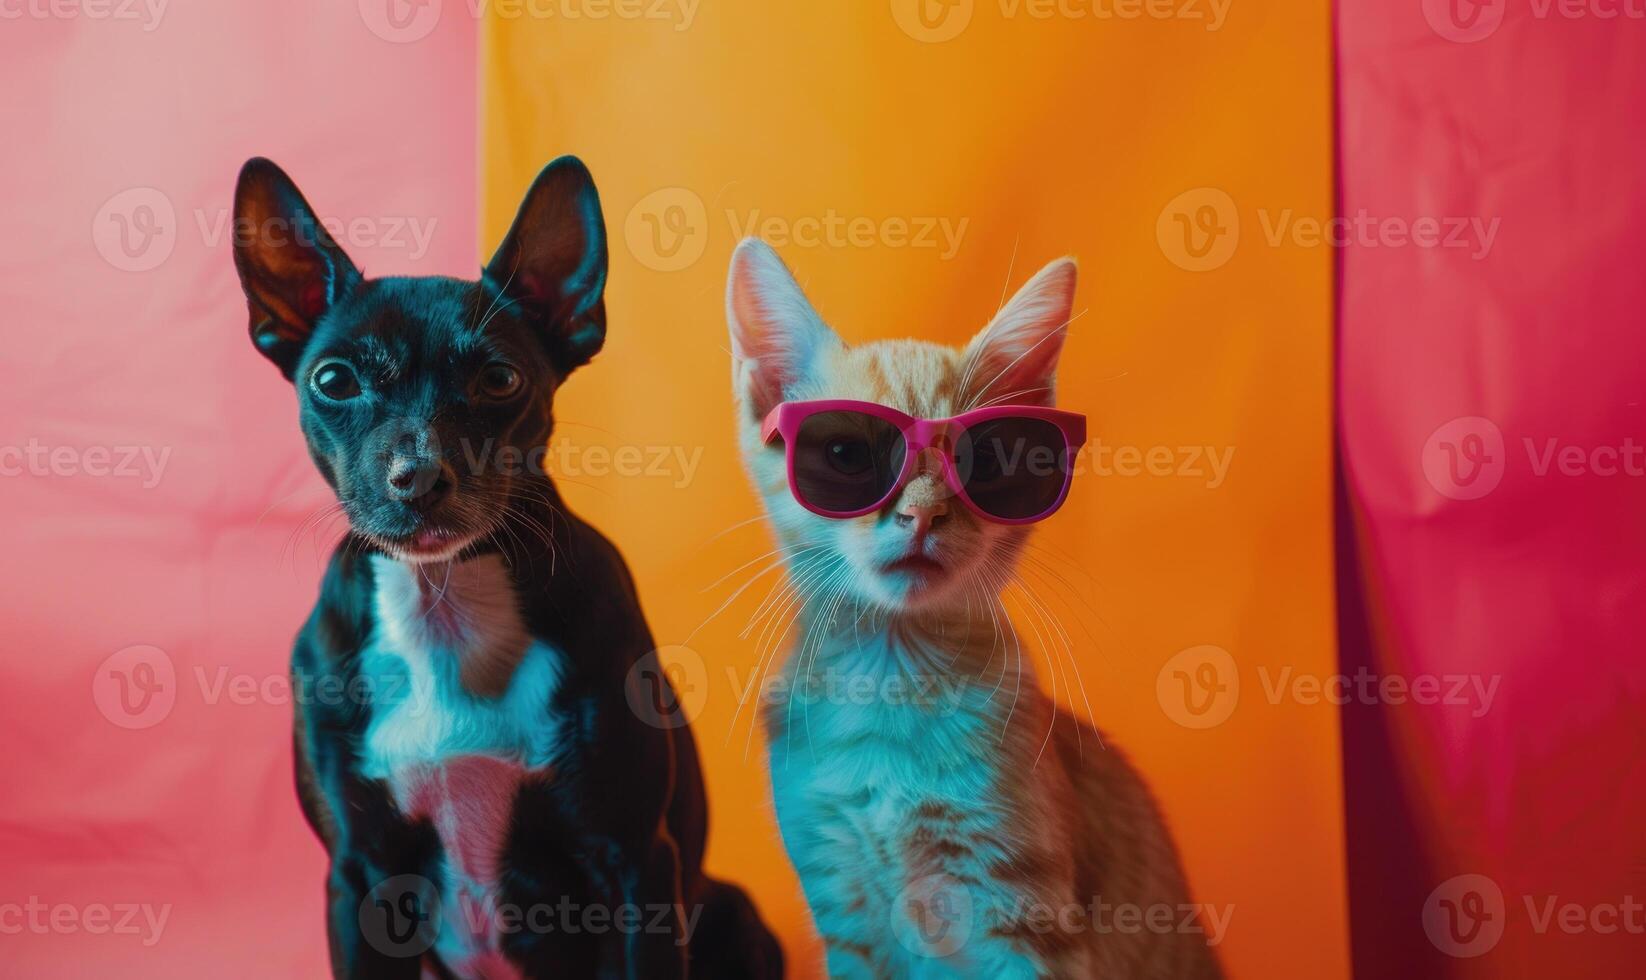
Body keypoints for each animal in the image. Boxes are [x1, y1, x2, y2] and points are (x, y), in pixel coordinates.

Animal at [235, 157, 786, 975]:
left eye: (499, 380)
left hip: (736, 915)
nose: (417, 475)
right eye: (333, 381)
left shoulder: (635, 866)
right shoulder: (360, 879)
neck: (444, 602)